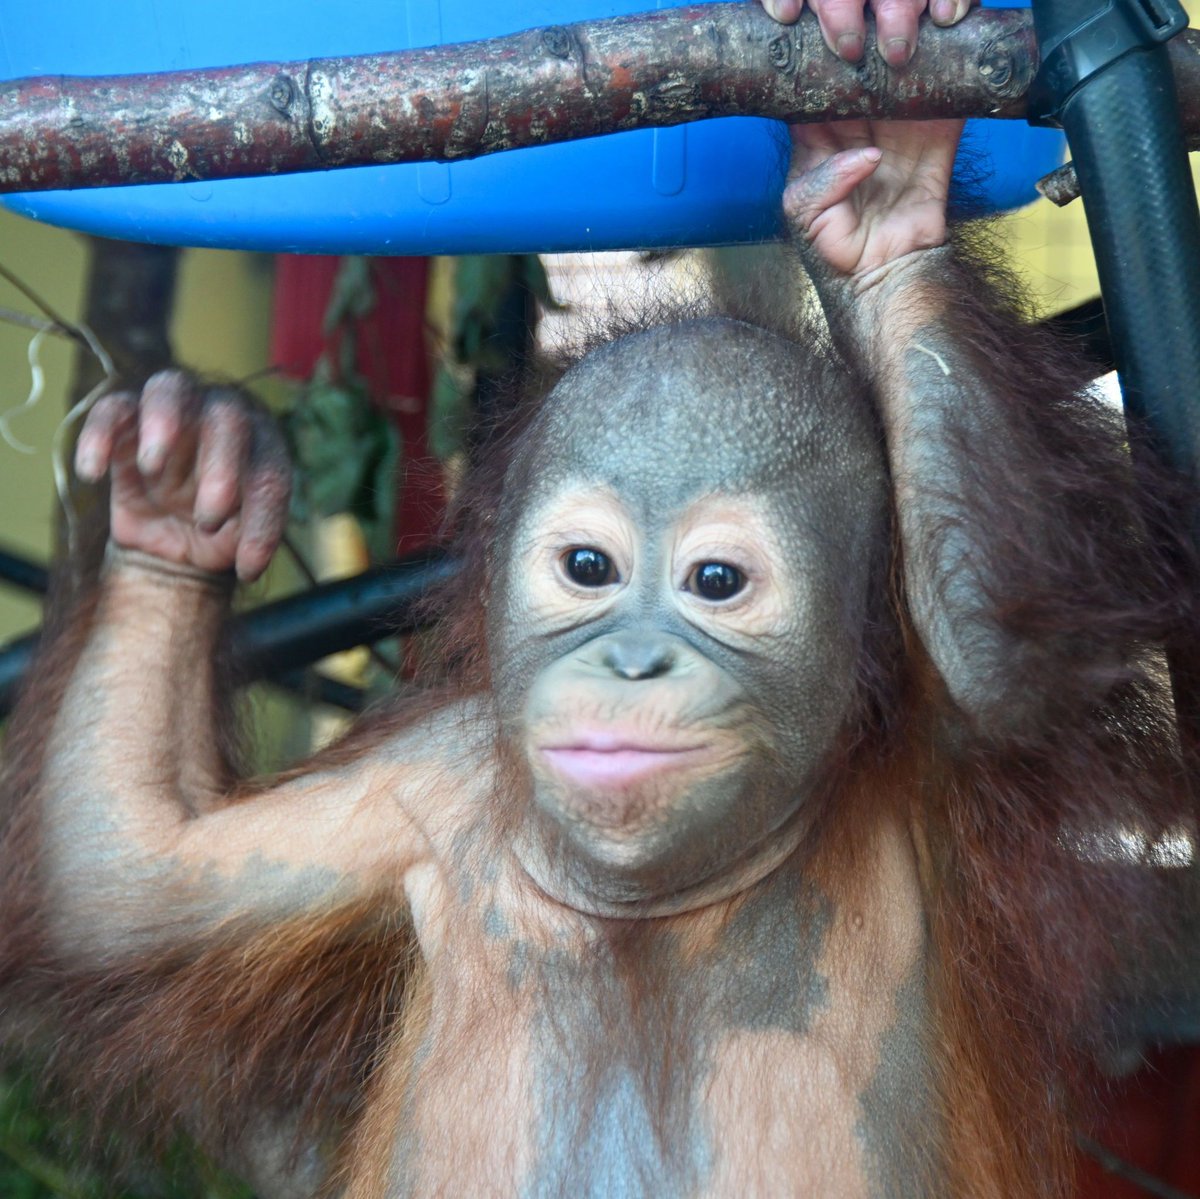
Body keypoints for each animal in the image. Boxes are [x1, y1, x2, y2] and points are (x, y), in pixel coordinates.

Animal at [2, 5, 1197, 1197]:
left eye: (716, 583)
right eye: (589, 568)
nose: (631, 662)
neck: (649, 902)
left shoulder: (937, 742)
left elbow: (1013, 658)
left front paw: (890, 203)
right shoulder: (414, 790)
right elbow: (134, 879)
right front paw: (180, 491)